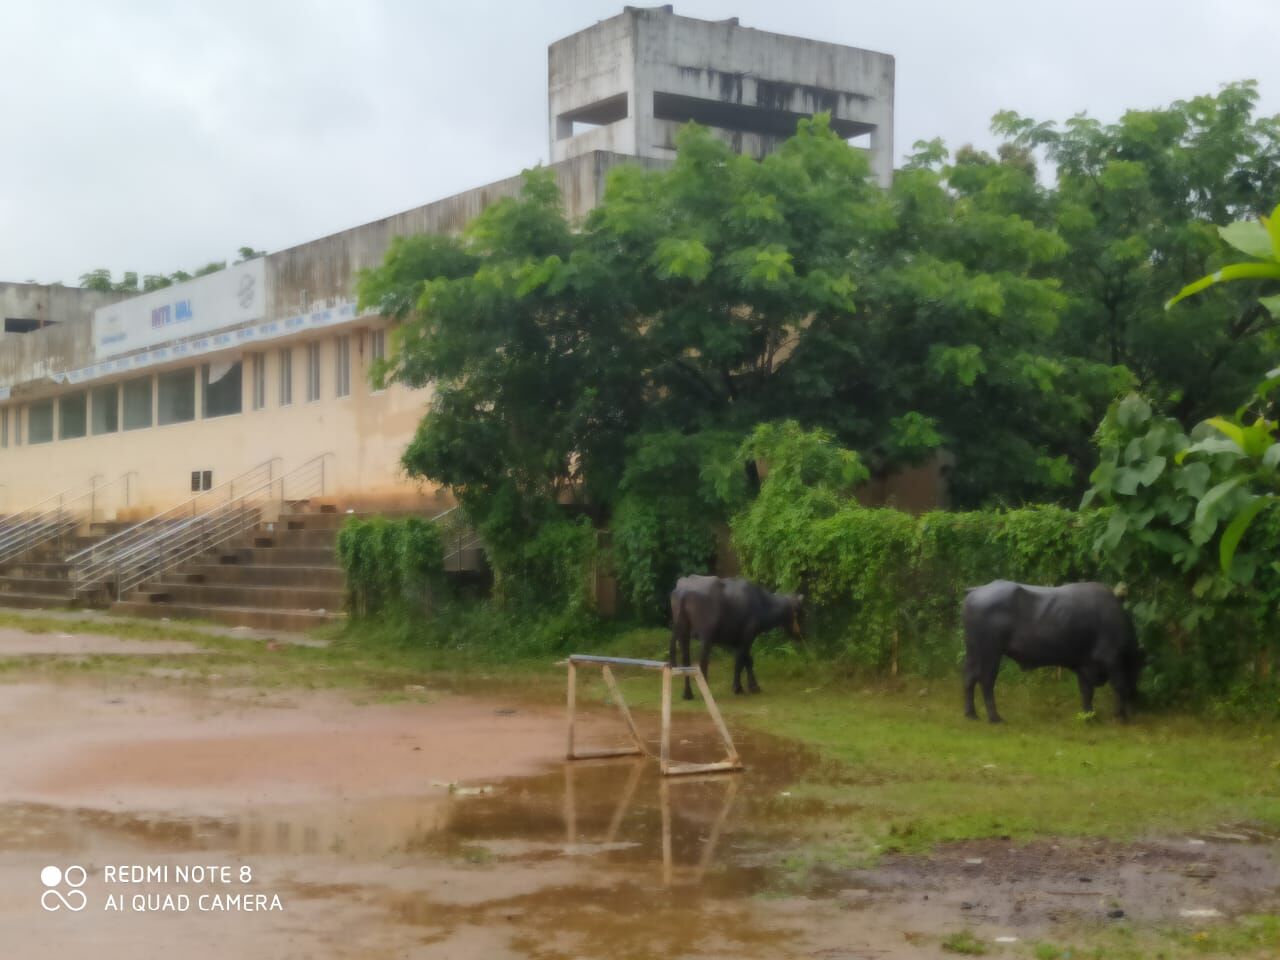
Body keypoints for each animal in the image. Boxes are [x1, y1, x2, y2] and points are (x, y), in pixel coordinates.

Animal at [670, 576, 798, 701]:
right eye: (800, 610)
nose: (799, 633)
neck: (762, 603)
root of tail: (684, 592)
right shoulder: (748, 637)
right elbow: (740, 662)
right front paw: (738, 688)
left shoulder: (737, 641)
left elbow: (748, 661)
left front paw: (753, 686)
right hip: (706, 637)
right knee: (703, 662)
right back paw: (705, 692)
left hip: (682, 633)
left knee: (686, 662)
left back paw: (687, 694)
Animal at [962, 583, 1141, 727]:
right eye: (1137, 670)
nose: (1136, 698)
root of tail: (977, 590)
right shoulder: (1113, 661)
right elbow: (1119, 686)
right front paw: (1121, 717)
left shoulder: (1084, 665)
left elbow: (1087, 693)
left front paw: (1090, 717)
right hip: (990, 654)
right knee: (986, 682)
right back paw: (995, 718)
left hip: (973, 653)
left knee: (969, 679)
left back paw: (971, 714)